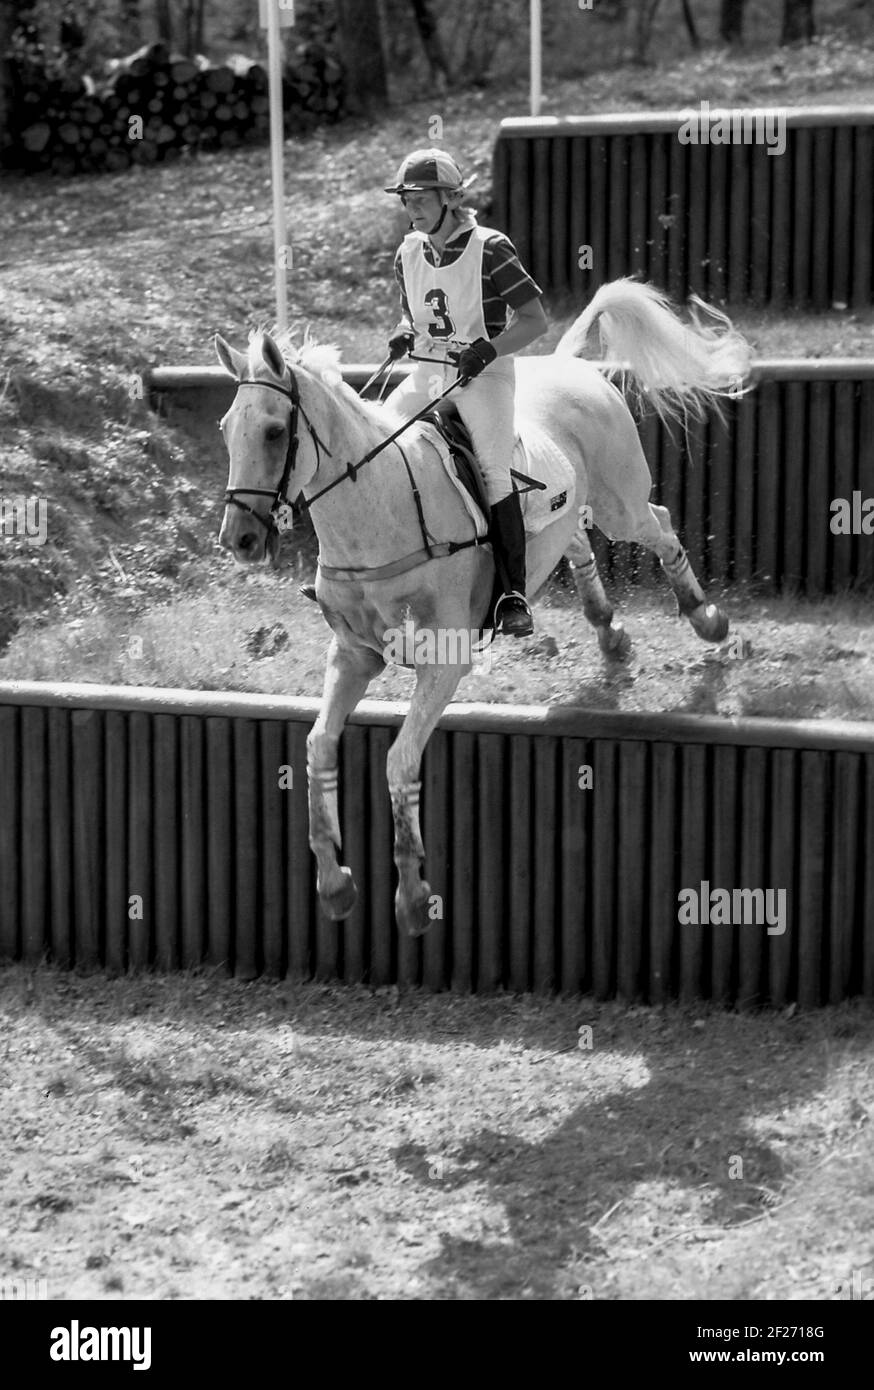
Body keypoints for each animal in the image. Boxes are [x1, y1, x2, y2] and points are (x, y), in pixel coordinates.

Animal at [215, 276, 744, 939]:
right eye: (226, 428)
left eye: (272, 432)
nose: (239, 540)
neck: (376, 515)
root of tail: (569, 363)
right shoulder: (354, 656)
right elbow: (318, 749)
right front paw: (335, 885)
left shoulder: (443, 662)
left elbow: (399, 761)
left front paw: (413, 895)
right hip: (576, 512)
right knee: (573, 537)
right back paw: (609, 633)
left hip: (621, 500)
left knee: (663, 526)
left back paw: (707, 619)